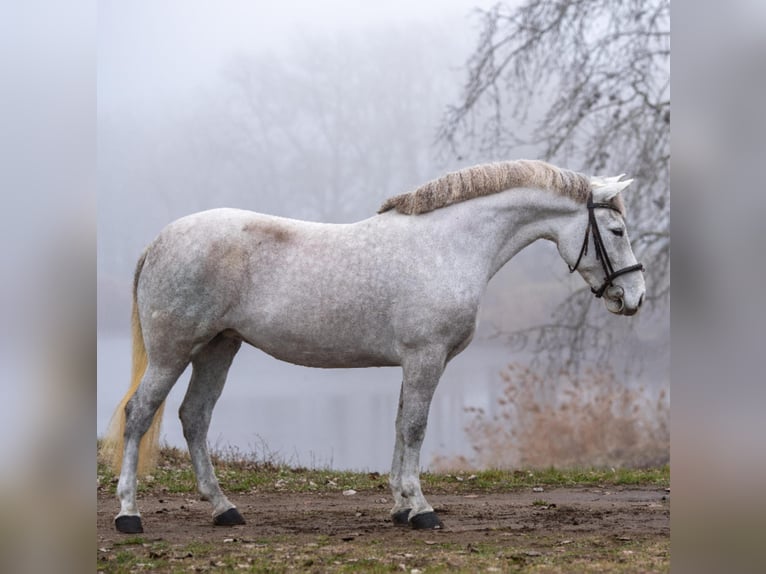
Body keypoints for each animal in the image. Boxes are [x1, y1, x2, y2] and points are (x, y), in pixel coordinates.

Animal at [100, 159, 645, 533]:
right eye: (617, 230)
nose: (635, 297)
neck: (448, 246)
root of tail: (160, 241)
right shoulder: (426, 357)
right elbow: (416, 427)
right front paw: (421, 509)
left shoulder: (414, 362)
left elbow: (402, 427)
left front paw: (401, 506)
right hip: (173, 352)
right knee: (139, 414)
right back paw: (129, 514)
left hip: (218, 348)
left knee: (194, 417)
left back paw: (224, 508)